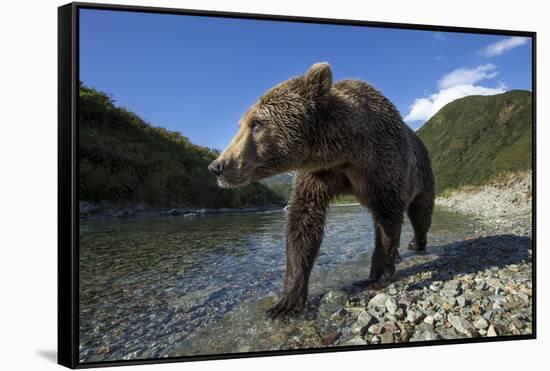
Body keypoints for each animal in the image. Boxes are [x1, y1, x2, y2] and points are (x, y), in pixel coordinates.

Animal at [209, 62, 438, 318]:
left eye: (256, 123)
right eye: (242, 124)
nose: (217, 166)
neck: (345, 151)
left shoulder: (382, 165)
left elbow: (387, 218)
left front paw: (377, 274)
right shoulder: (318, 174)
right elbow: (303, 222)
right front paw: (286, 301)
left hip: (422, 177)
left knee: (420, 213)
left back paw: (416, 243)